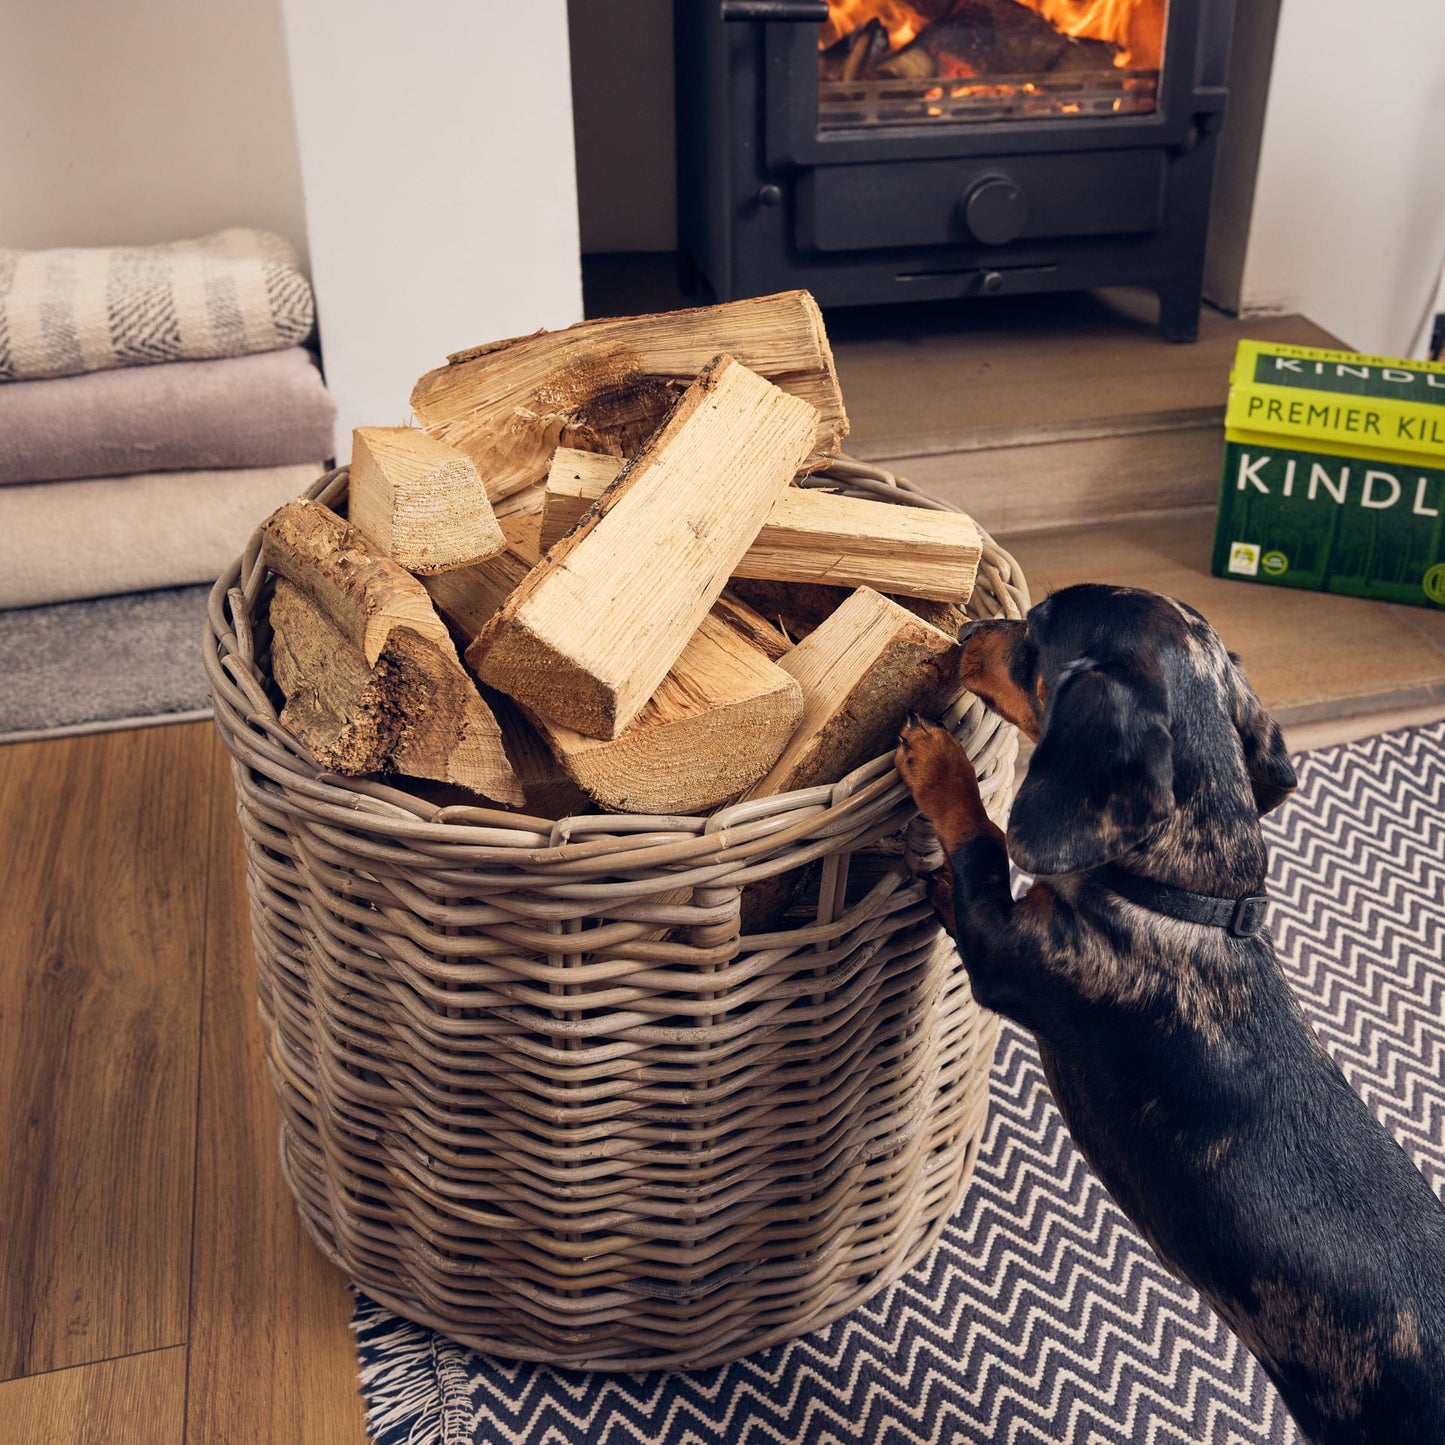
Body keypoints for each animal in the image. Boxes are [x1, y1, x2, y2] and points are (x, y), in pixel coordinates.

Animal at [895, 583, 1439, 1445]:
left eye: (1033, 638)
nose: (970, 630)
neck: (1184, 900)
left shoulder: (1005, 952)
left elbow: (982, 842)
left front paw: (938, 762)